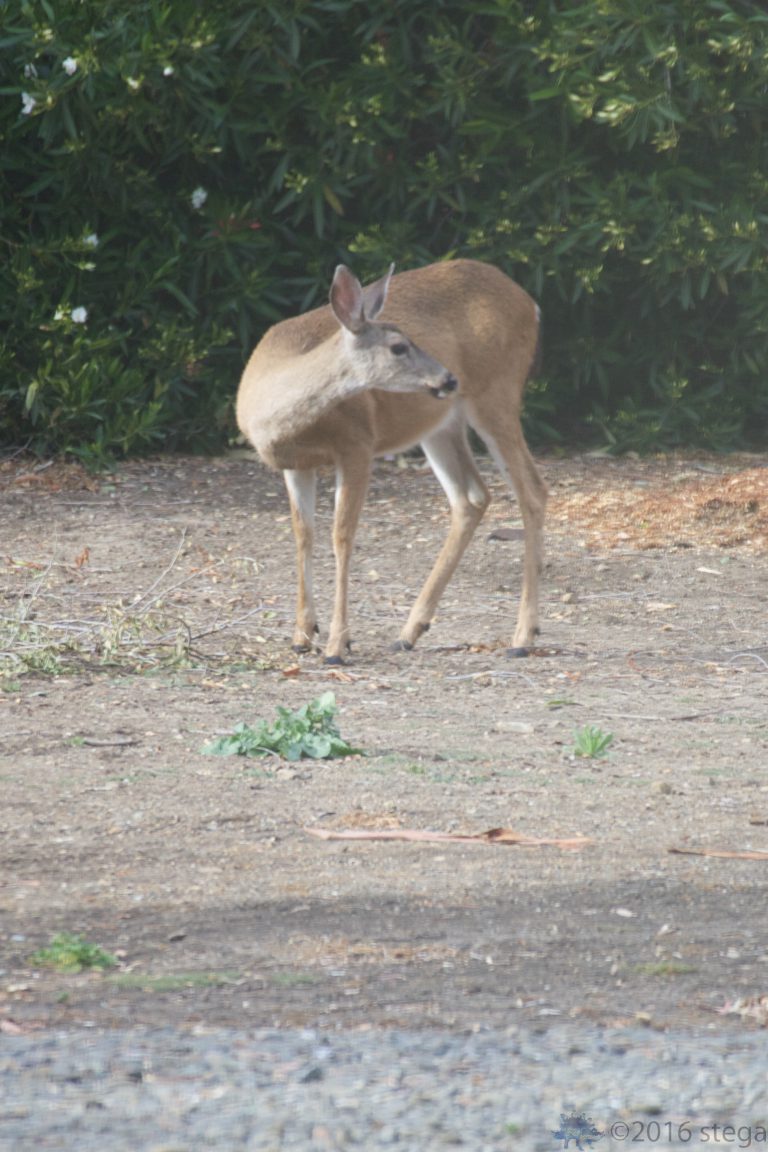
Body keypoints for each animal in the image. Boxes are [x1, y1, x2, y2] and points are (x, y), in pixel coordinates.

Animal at [236, 258, 547, 664]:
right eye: (398, 346)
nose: (448, 377)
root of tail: (530, 304)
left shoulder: (357, 445)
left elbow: (342, 536)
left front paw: (337, 645)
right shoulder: (296, 464)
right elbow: (304, 533)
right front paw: (302, 635)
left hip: (496, 392)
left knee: (532, 490)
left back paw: (523, 636)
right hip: (440, 424)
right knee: (471, 497)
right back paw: (409, 633)